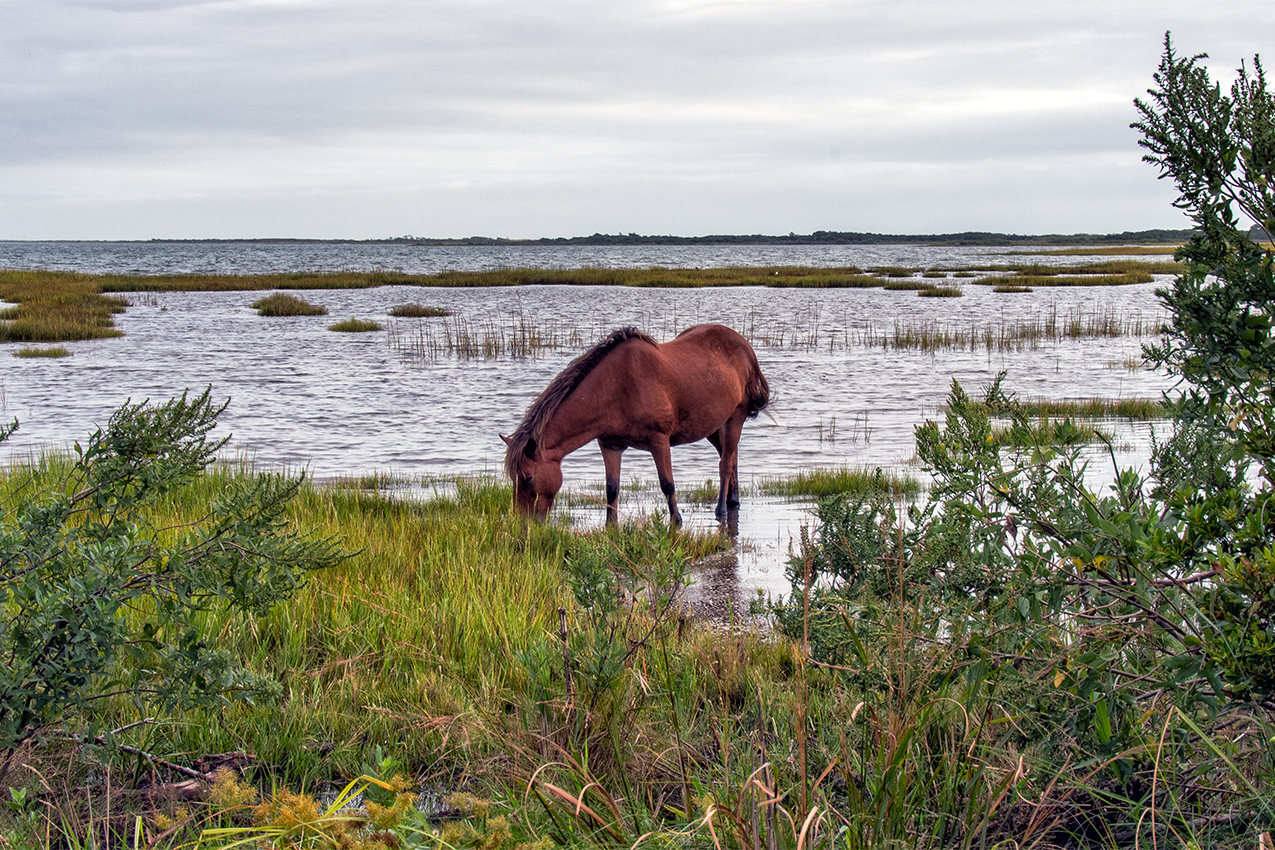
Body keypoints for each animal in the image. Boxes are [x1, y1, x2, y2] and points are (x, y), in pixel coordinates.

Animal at [502, 323, 770, 526]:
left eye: (527, 478)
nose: (523, 522)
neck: (616, 387)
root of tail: (746, 348)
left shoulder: (659, 440)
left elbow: (667, 485)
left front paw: (676, 520)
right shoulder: (609, 446)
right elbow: (612, 488)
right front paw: (610, 524)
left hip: (734, 417)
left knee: (725, 464)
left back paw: (721, 509)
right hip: (714, 426)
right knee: (730, 457)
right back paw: (733, 501)